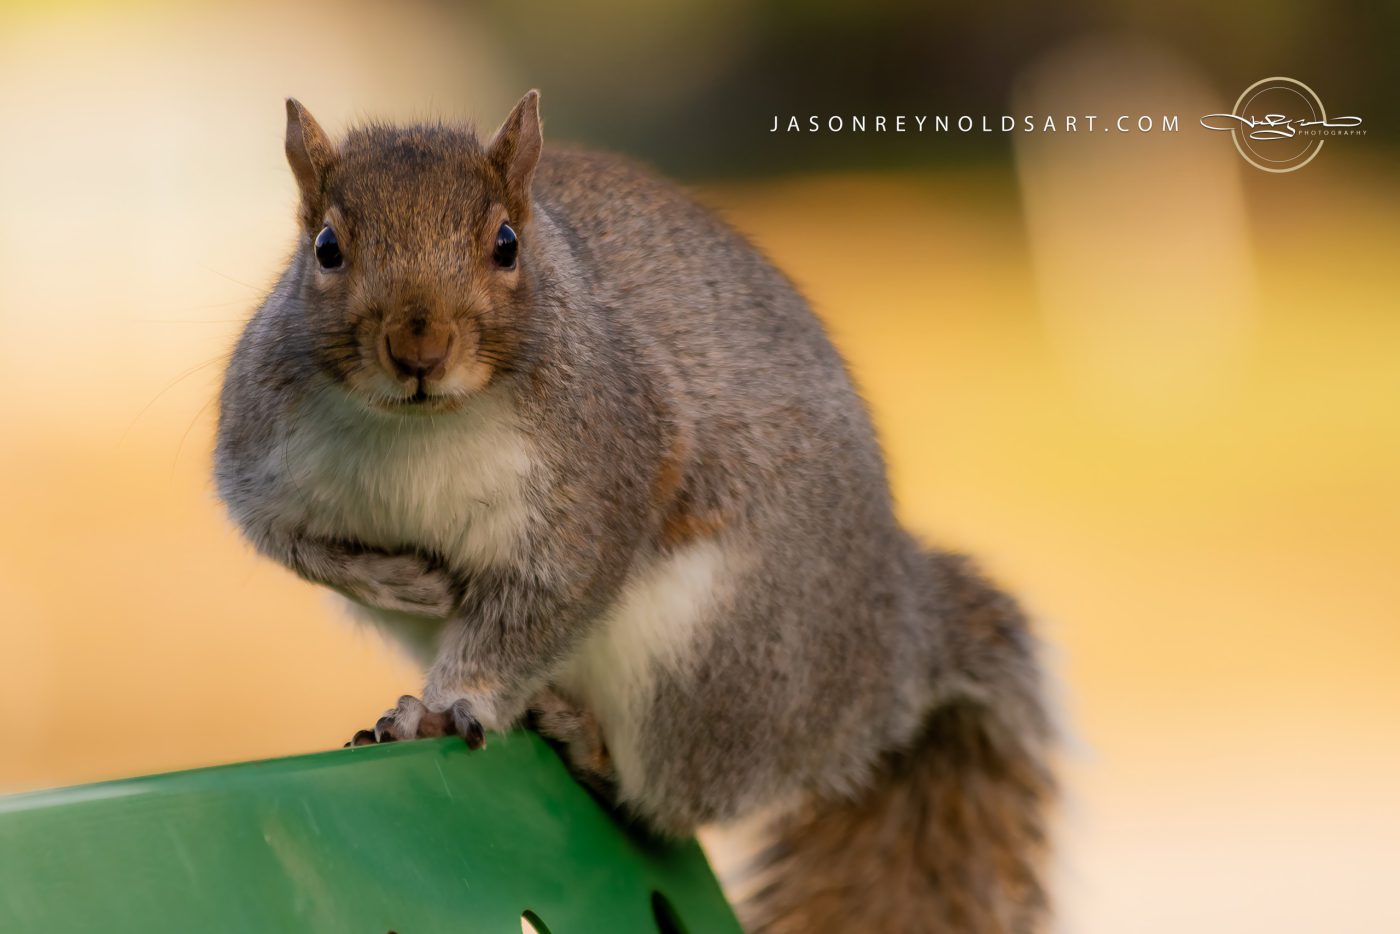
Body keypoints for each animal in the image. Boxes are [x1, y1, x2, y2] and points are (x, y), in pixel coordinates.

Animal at [214, 90, 1056, 933]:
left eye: (506, 245)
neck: (417, 428)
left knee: (670, 806)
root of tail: (891, 665)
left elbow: (543, 607)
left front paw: (450, 705)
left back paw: (584, 741)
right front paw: (400, 581)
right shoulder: (257, 459)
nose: (420, 350)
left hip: (706, 665)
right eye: (326, 248)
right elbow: (286, 543)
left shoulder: (609, 475)